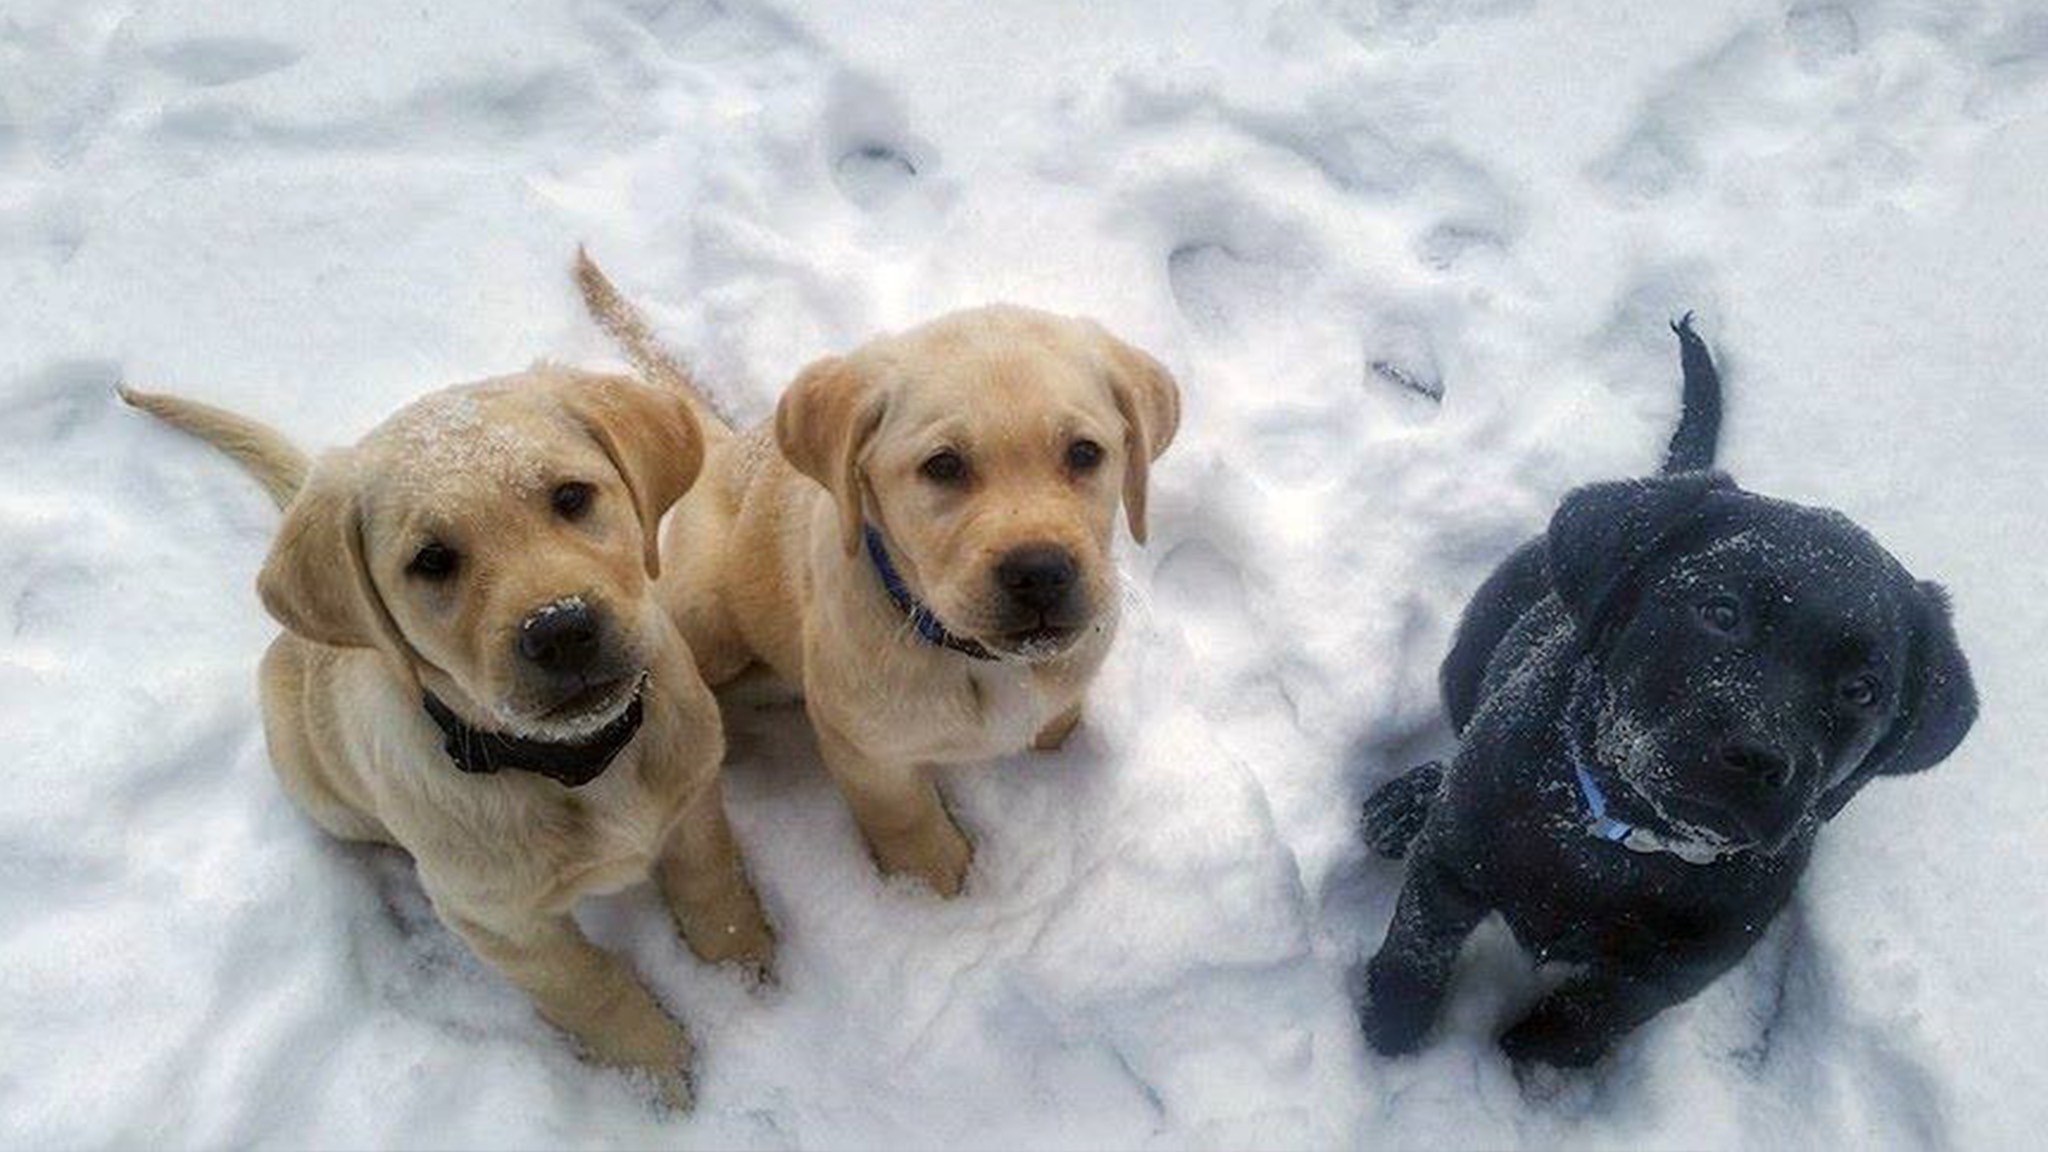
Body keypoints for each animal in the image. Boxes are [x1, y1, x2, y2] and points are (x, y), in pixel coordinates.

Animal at [121, 366, 774, 1106]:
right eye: (431, 561)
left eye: (571, 497)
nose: (561, 629)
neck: (577, 763)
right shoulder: (500, 923)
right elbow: (586, 985)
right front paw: (654, 1065)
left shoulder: (692, 802)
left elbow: (710, 880)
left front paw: (741, 963)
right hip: (312, 776)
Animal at [577, 253, 1187, 897]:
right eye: (943, 466)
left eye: (1085, 453)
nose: (1041, 573)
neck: (973, 661)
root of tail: (729, 444)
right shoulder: (868, 754)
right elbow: (909, 823)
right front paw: (941, 893)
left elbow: (1056, 722)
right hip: (706, 615)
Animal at [1359, 315, 1966, 1065]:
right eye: (1721, 611)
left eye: (1863, 690)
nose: (1760, 759)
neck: (1624, 843)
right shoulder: (1449, 867)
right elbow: (1416, 947)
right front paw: (1390, 1027)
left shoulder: (1667, 977)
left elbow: (1584, 1019)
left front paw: (1531, 1063)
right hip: (1475, 637)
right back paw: (1406, 801)